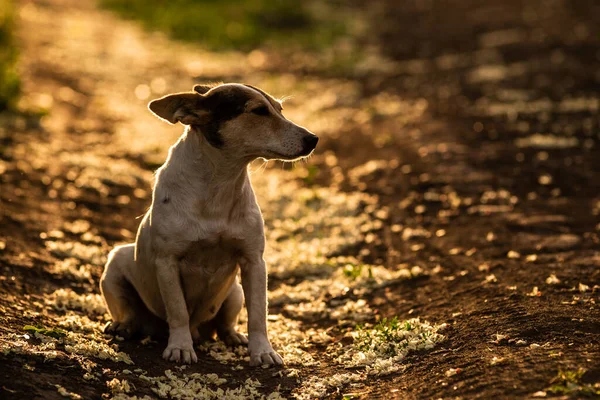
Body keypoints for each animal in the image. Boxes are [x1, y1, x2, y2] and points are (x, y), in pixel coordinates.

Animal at [99, 83, 318, 366]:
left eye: (280, 109)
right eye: (258, 111)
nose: (313, 139)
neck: (218, 186)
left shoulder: (254, 261)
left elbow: (258, 314)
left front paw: (263, 352)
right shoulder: (167, 263)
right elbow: (178, 311)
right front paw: (180, 347)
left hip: (235, 292)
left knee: (225, 324)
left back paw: (233, 337)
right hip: (115, 266)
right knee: (129, 311)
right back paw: (123, 326)